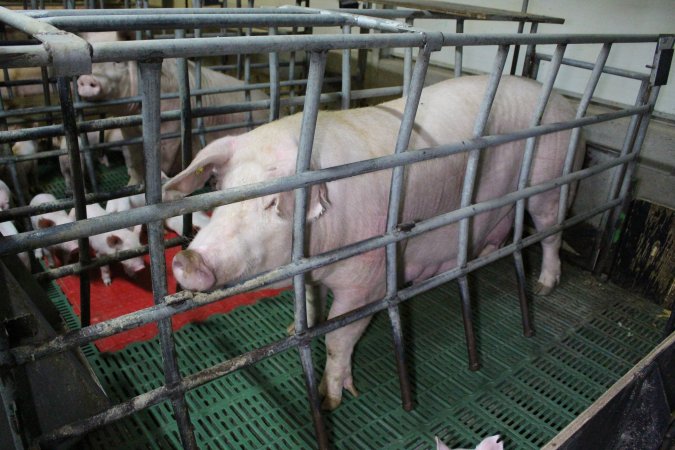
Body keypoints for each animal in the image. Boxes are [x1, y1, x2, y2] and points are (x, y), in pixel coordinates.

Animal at [76, 31, 270, 185]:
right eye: (89, 65)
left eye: (117, 61)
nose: (87, 79)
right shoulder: (129, 131)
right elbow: (134, 158)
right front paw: (132, 184)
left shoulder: (172, 125)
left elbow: (164, 156)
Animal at [162, 75, 588, 410]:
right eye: (223, 192)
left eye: (270, 203)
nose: (188, 259)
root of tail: (564, 102)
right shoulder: (313, 275)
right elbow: (312, 304)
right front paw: (291, 329)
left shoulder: (368, 279)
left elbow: (339, 337)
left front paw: (330, 399)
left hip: (551, 179)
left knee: (550, 232)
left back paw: (545, 286)